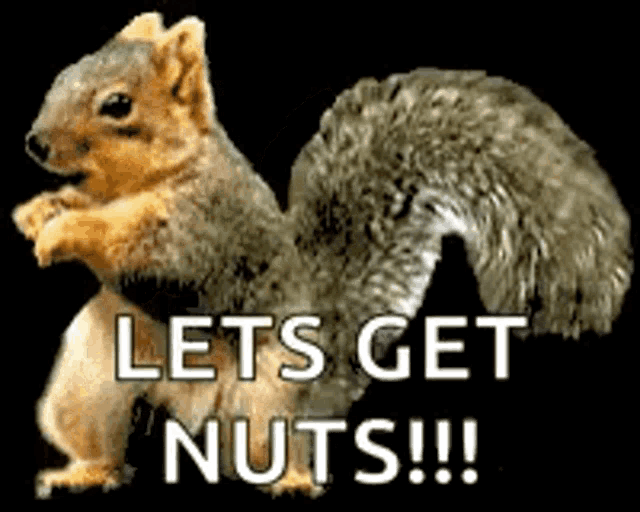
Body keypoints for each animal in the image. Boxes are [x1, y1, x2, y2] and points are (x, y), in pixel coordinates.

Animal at [13, 12, 632, 498]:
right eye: (64, 74)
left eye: (118, 104)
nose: (35, 143)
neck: (148, 178)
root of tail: (195, 419)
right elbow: (81, 205)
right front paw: (39, 212)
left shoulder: (205, 231)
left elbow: (137, 244)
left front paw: (64, 230)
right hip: (90, 381)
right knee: (103, 443)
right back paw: (83, 473)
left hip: (269, 395)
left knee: (276, 448)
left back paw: (291, 482)